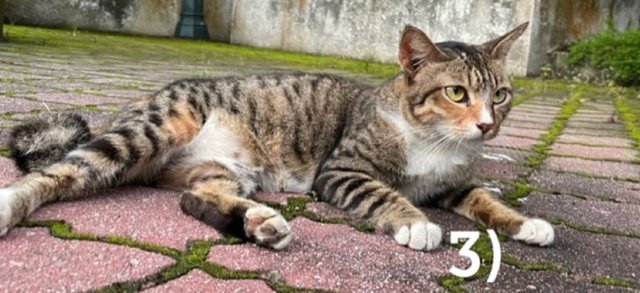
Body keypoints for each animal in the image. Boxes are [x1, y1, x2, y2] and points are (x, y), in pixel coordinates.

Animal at [0, 23, 556, 251]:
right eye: (457, 93)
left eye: (501, 95)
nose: (488, 125)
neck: (435, 143)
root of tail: (134, 105)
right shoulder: (342, 171)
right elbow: (383, 192)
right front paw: (415, 223)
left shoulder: (453, 182)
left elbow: (482, 197)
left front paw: (525, 222)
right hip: (153, 130)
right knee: (60, 172)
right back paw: (10, 205)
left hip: (223, 170)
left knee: (193, 199)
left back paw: (259, 223)